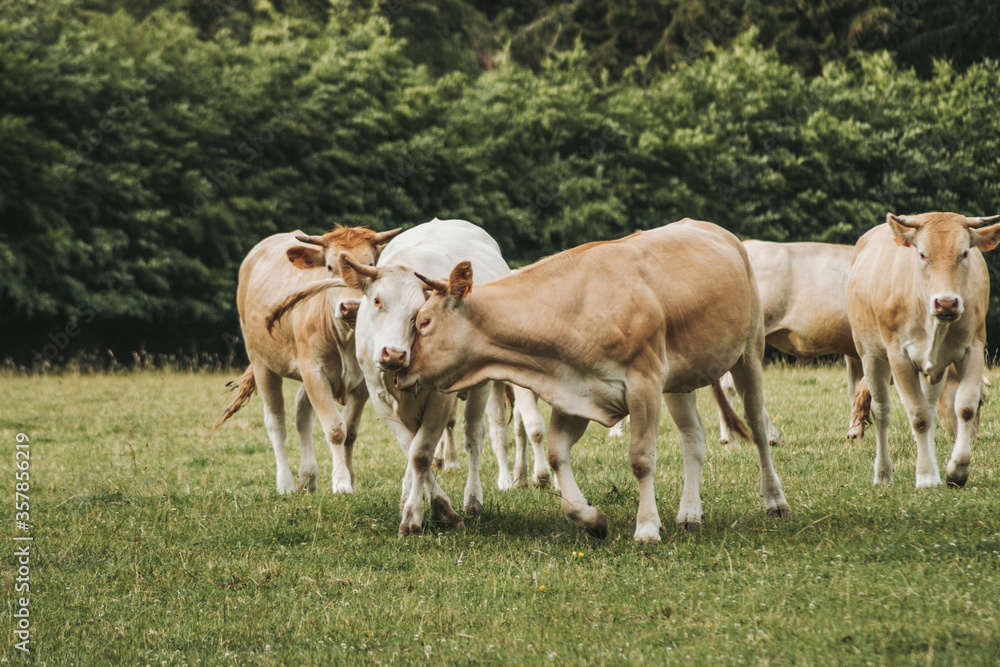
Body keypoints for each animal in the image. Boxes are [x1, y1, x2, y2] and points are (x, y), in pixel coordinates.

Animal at [212, 226, 400, 494]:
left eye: (371, 264)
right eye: (330, 267)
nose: (351, 307)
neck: (345, 339)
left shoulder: (363, 380)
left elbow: (350, 431)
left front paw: (349, 477)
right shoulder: (314, 372)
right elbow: (335, 429)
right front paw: (341, 482)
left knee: (302, 412)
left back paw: (308, 476)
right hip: (261, 361)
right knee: (276, 421)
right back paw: (286, 483)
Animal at [395, 219, 791, 542]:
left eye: (424, 322)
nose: (400, 371)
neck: (575, 305)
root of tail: (719, 232)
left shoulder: (644, 384)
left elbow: (641, 458)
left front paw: (647, 527)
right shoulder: (578, 390)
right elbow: (557, 455)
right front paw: (591, 518)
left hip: (749, 351)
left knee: (757, 426)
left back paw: (774, 500)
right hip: (679, 381)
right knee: (693, 437)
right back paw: (690, 513)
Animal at [847, 212, 999, 488]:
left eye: (964, 253)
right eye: (922, 254)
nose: (946, 303)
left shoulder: (972, 349)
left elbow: (963, 407)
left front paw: (956, 471)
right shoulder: (899, 357)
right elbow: (918, 417)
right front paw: (926, 476)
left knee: (929, 408)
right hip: (870, 355)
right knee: (882, 411)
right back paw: (883, 473)